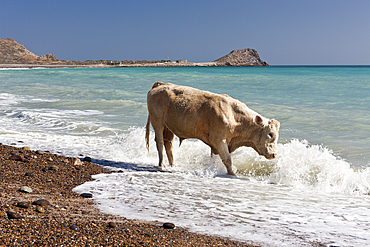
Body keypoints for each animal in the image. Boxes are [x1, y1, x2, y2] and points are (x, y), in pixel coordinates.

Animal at [145, 82, 280, 177]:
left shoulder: (215, 143)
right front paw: (232, 174)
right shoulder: (218, 139)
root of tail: (161, 85)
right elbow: (227, 159)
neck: (235, 117)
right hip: (157, 121)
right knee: (160, 142)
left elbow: (215, 159)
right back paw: (162, 165)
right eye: (270, 134)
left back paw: (173, 165)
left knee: (168, 143)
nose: (274, 154)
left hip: (169, 127)